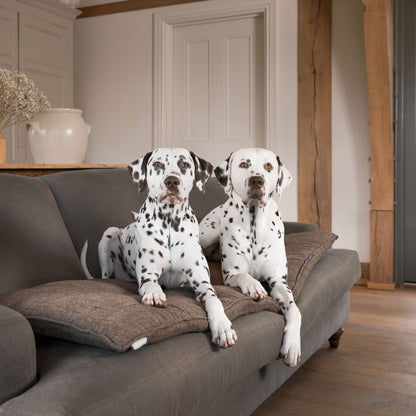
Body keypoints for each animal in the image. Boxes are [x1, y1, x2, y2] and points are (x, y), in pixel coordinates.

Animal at [81, 148, 237, 350]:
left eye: (184, 164)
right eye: (157, 164)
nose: (171, 181)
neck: (170, 223)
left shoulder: (202, 282)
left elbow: (214, 299)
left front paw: (222, 326)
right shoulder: (148, 276)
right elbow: (151, 285)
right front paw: (155, 294)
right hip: (110, 234)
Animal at [199, 148, 300, 366]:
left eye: (269, 166)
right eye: (244, 164)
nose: (257, 181)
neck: (254, 223)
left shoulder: (279, 282)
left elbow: (295, 310)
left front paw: (293, 345)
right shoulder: (231, 275)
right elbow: (244, 275)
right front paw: (254, 286)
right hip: (208, 233)